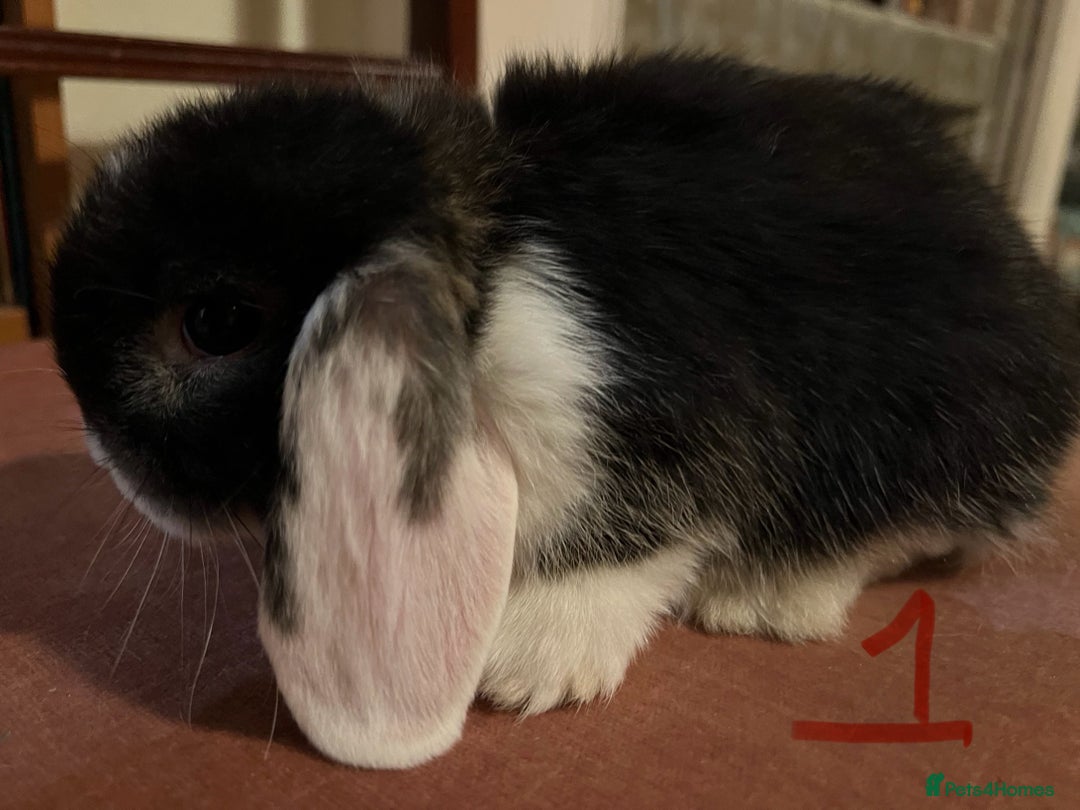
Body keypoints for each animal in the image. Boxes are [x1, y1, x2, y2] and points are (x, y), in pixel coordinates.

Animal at [51, 53, 1080, 769]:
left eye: (216, 324)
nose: (102, 454)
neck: (490, 254)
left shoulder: (645, 412)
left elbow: (642, 525)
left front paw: (531, 661)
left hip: (947, 423)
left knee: (920, 526)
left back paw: (771, 597)